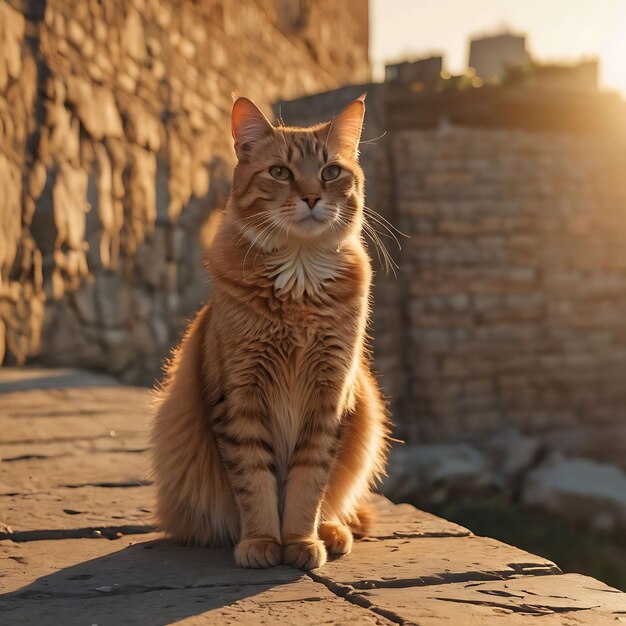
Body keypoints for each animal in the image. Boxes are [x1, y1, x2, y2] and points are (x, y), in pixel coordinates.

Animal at [151, 95, 388, 568]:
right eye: (280, 172)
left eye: (330, 172)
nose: (312, 196)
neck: (299, 283)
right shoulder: (239, 395)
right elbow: (254, 482)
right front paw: (262, 541)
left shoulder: (329, 398)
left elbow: (308, 484)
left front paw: (300, 541)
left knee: (336, 502)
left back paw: (332, 531)